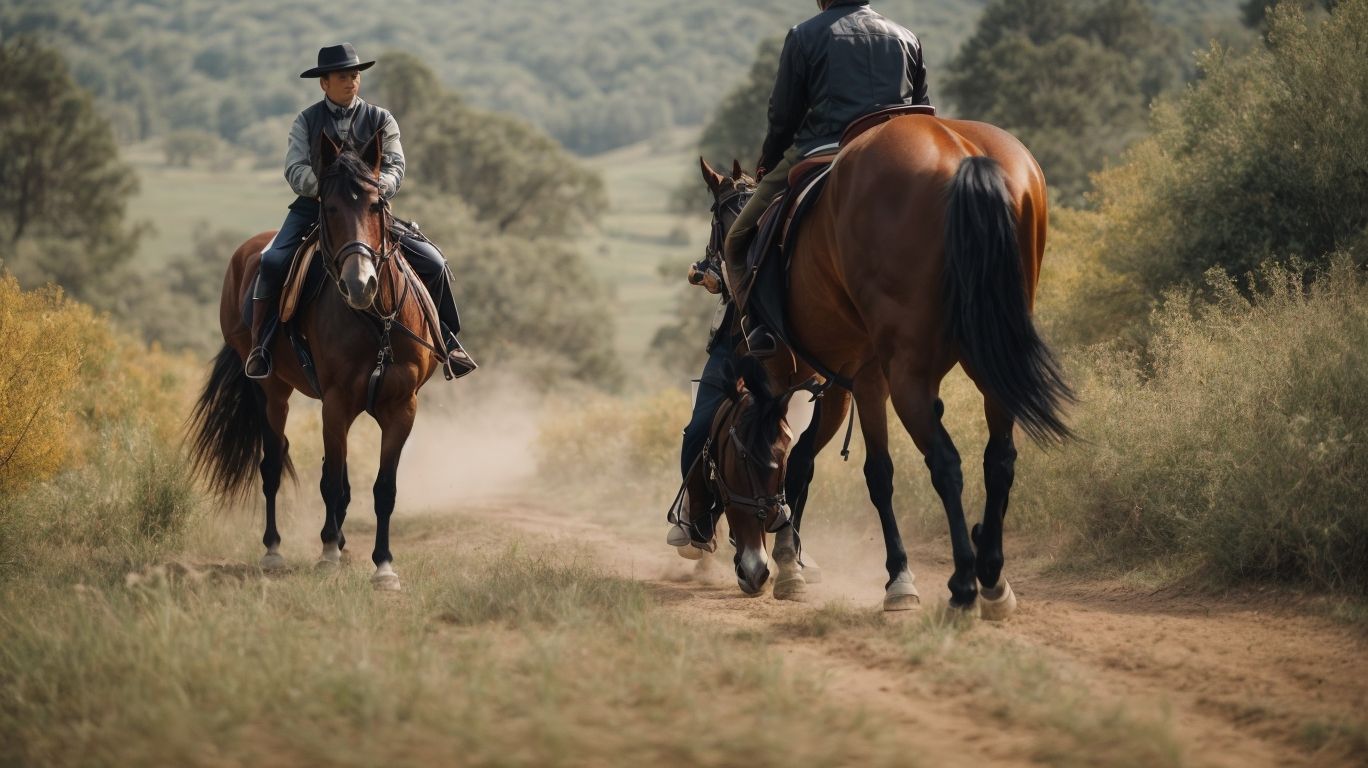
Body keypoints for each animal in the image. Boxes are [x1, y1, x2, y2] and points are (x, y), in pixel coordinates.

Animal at [189, 130, 443, 591]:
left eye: (376, 205)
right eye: (329, 207)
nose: (360, 284)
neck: (376, 320)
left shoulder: (402, 408)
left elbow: (382, 489)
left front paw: (383, 566)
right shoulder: (336, 403)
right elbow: (330, 483)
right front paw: (327, 553)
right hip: (272, 391)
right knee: (273, 464)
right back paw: (274, 550)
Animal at [699, 113, 1073, 617]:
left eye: (716, 219)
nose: (749, 568)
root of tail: (961, 152)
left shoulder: (832, 376)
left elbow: (867, 472)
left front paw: (890, 576)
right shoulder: (839, 381)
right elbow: (802, 460)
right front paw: (792, 559)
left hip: (906, 376)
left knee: (946, 463)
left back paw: (964, 583)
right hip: (990, 357)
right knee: (999, 460)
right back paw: (992, 576)